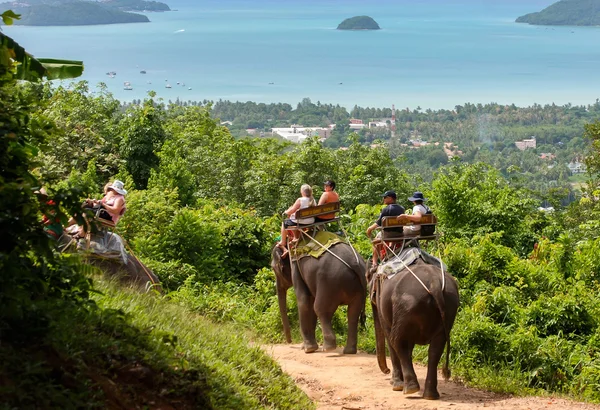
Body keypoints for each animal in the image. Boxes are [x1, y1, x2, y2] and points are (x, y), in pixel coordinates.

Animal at [366, 258, 460, 398]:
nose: (387, 371)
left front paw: (395, 384)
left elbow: (389, 337)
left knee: (398, 341)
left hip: (407, 305)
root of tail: (434, 284)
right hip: (449, 305)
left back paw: (409, 388)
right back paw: (430, 395)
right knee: (436, 347)